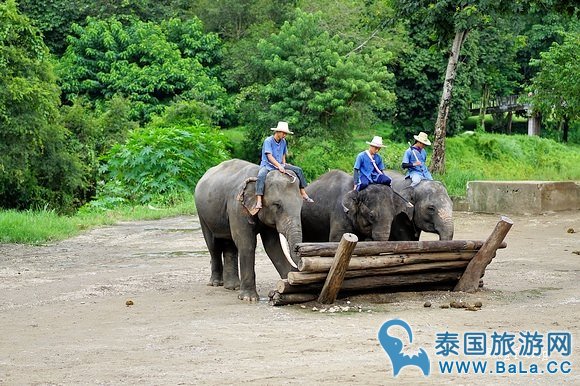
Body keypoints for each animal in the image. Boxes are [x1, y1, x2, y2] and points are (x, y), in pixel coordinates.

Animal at [195, 160, 304, 302]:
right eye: (277, 205)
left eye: (301, 204)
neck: (260, 177)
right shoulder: (237, 206)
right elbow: (246, 243)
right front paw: (249, 298)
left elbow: (273, 247)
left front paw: (288, 288)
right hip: (202, 215)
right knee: (213, 246)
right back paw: (216, 283)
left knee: (230, 245)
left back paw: (233, 286)